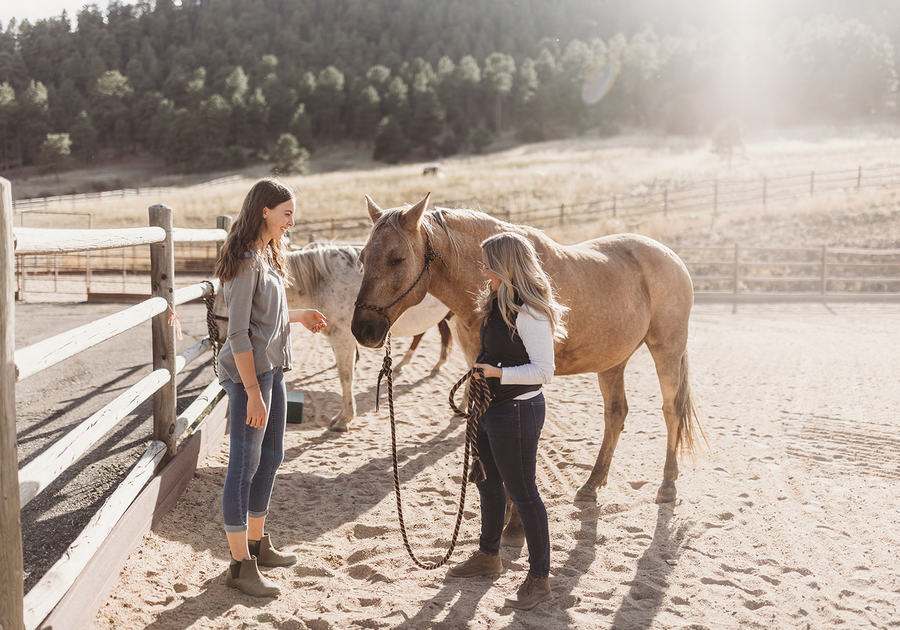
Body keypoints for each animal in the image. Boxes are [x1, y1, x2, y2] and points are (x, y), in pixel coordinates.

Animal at [213, 239, 458, 432]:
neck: (326, 281)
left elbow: (345, 376)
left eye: (227, 291)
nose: (219, 334)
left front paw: (344, 419)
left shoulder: (344, 339)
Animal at [352, 195, 704, 506]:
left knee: (671, 410)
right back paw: (592, 483)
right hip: (612, 362)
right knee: (616, 415)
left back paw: (667, 484)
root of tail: (671, 256)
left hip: (667, 351)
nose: (363, 329)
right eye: (363, 258)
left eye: (396, 258)